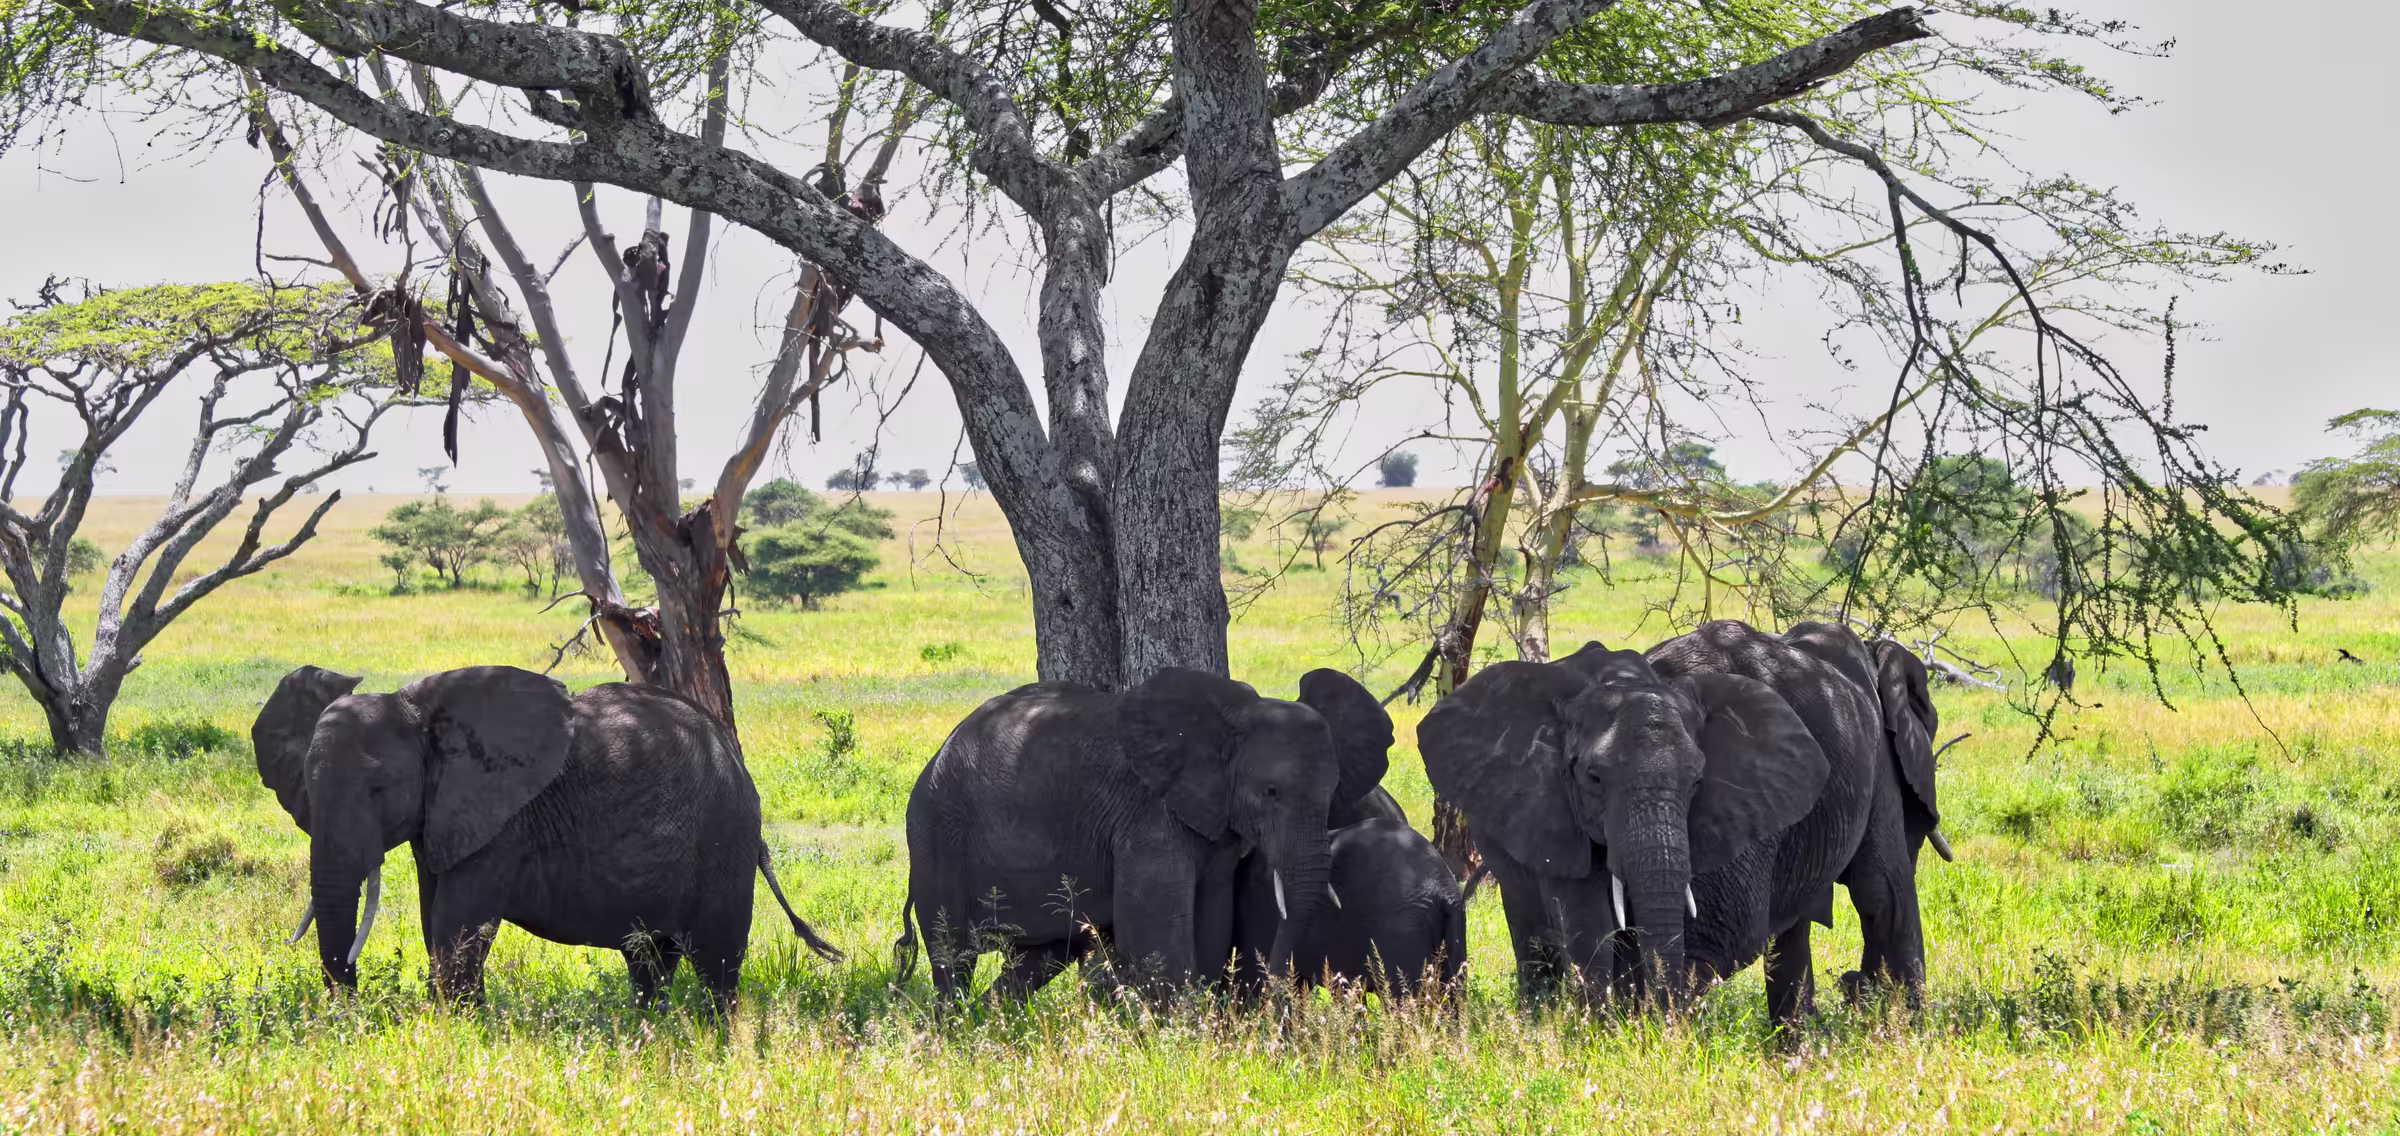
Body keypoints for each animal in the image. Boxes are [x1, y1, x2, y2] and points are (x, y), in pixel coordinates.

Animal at [251, 664, 842, 1012]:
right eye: (305, 788)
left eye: (378, 788)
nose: (352, 1013)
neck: (420, 712)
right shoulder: (442, 812)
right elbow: (432, 918)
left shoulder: (503, 817)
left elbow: (455, 926)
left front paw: (463, 1033)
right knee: (651, 961)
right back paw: (649, 1034)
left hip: (723, 837)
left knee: (717, 963)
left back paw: (719, 1042)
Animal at [893, 668, 1343, 1001]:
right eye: (1271, 792)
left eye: (1333, 791)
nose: (1277, 992)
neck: (1232, 715)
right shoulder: (1147, 817)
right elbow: (1155, 935)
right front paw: (1181, 1036)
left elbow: (1212, 920)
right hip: (938, 834)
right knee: (952, 952)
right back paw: (957, 1032)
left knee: (1037, 958)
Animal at [1419, 627, 1892, 1022]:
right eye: (1593, 778)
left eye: (1697, 781)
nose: (1662, 1024)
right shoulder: (1554, 809)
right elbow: (1588, 922)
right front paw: (1598, 1034)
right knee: (1529, 928)